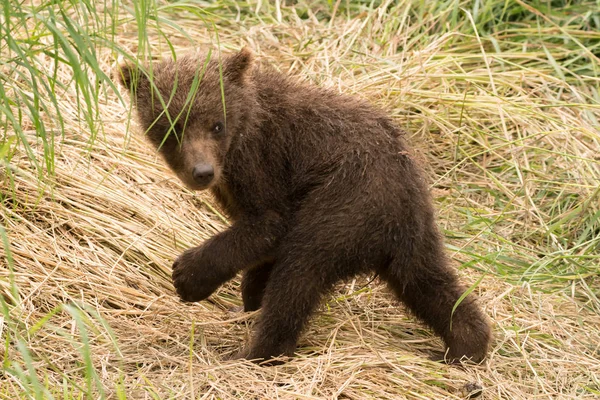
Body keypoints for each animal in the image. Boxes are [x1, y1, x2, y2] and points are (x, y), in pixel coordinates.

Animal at [115, 48, 490, 364]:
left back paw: (255, 353)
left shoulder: (263, 162)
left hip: (344, 204)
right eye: (171, 127)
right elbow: (259, 251)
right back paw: (466, 344)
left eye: (216, 124)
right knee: (427, 281)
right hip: (411, 228)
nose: (202, 172)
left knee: (298, 274)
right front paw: (246, 302)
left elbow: (267, 225)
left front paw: (189, 276)